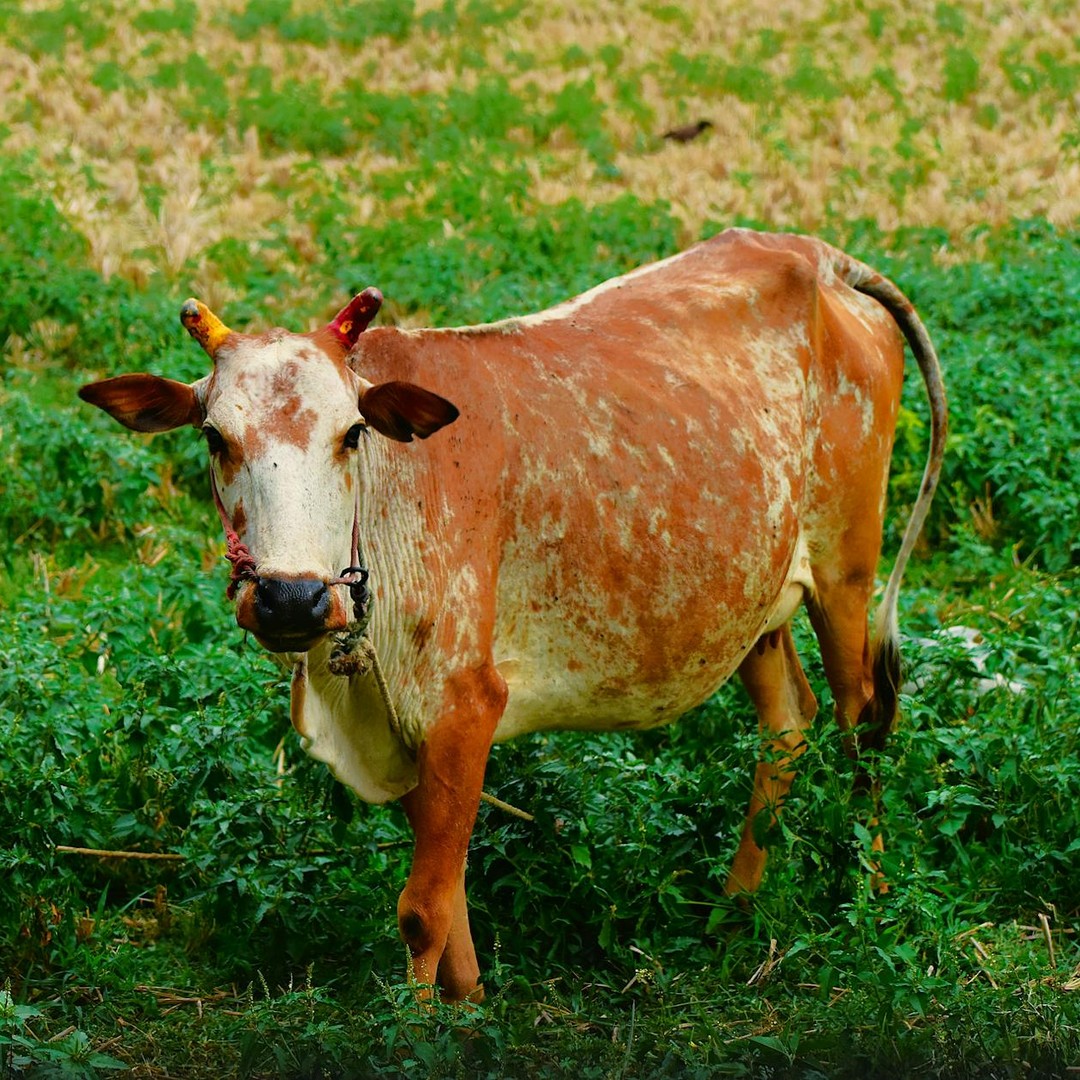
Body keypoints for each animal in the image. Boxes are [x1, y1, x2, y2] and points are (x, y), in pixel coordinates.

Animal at [79, 228, 947, 1004]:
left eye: (352, 434)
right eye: (213, 437)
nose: (292, 597)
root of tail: (816, 255)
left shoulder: (467, 703)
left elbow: (423, 911)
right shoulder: (409, 731)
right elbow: (451, 900)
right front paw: (470, 1009)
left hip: (845, 571)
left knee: (862, 721)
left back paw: (870, 896)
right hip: (753, 596)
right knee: (788, 722)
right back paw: (734, 909)